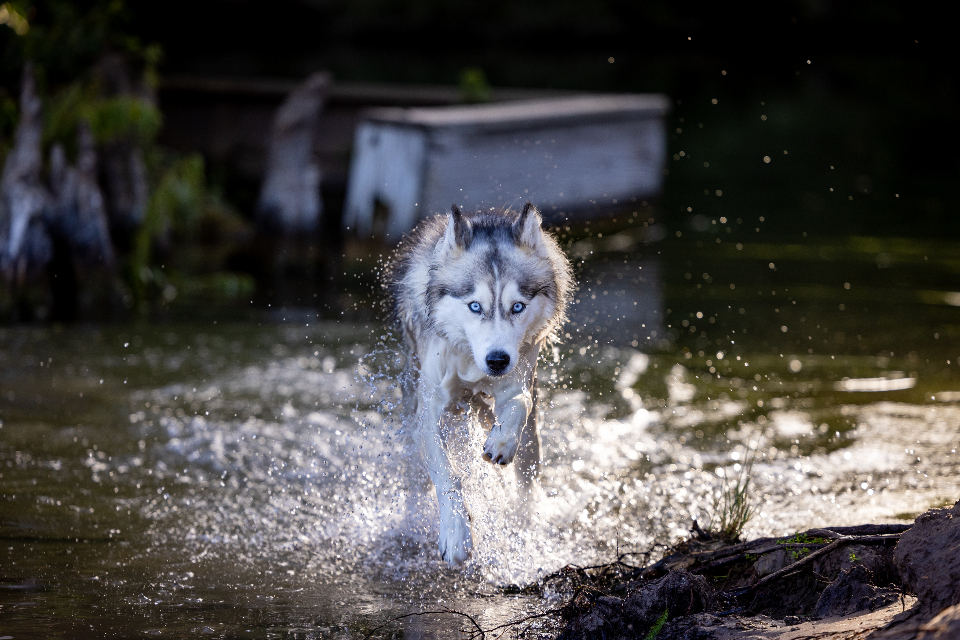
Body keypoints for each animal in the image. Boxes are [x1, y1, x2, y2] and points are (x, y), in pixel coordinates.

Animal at [386, 202, 572, 564]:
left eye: (518, 306)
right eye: (475, 306)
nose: (497, 360)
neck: (472, 365)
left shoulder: (518, 381)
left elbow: (519, 404)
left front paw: (501, 441)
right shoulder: (429, 413)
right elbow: (448, 475)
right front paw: (456, 534)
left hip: (530, 442)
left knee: (527, 478)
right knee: (416, 481)